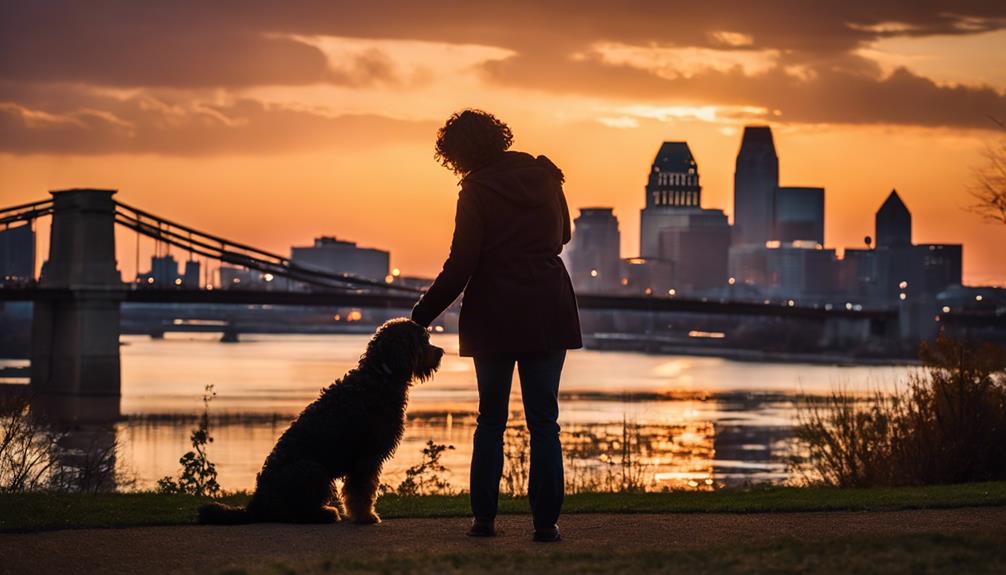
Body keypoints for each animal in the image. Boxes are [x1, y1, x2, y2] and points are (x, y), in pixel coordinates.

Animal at [198, 319, 442, 526]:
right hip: (313, 469)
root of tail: (257, 503)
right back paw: (325, 513)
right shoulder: (366, 457)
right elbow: (361, 492)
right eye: (423, 341)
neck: (380, 376)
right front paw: (365, 517)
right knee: (294, 513)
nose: (441, 352)